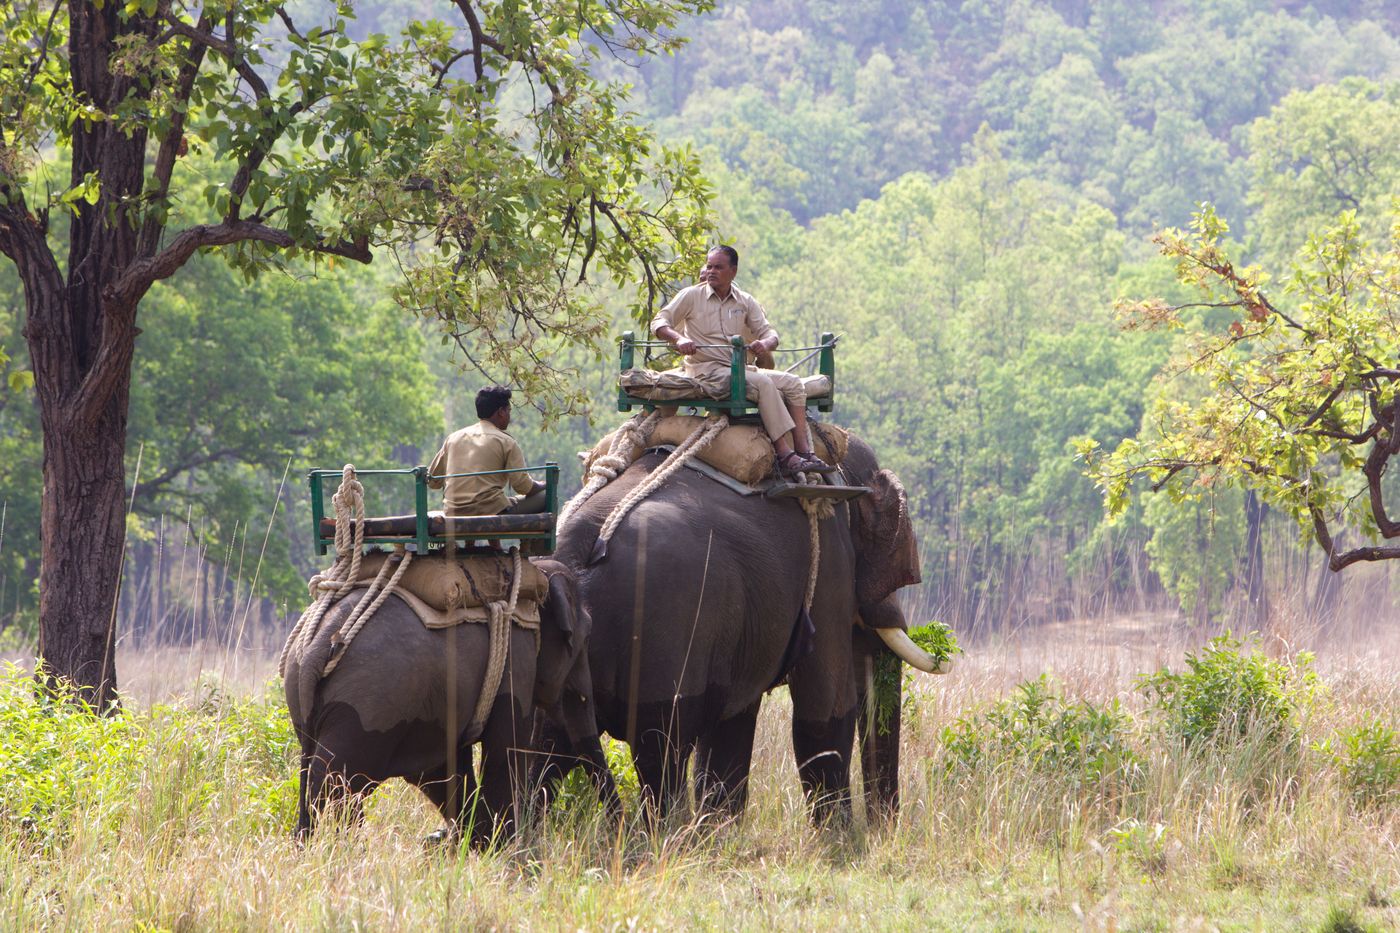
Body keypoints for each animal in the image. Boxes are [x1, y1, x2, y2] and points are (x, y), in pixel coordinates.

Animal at [282, 554, 613, 840]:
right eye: (584, 638)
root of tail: (318, 646)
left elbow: (444, 769)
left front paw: (473, 841)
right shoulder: (517, 658)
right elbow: (505, 754)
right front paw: (501, 852)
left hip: (308, 695)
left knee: (319, 777)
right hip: (368, 703)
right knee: (337, 783)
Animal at [546, 431, 940, 818]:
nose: (881, 828)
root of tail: (579, 553)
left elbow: (732, 729)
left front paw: (720, 828)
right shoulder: (830, 563)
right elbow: (824, 711)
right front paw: (839, 836)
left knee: (547, 753)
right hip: (663, 629)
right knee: (660, 748)